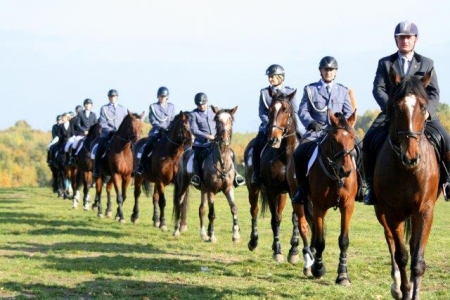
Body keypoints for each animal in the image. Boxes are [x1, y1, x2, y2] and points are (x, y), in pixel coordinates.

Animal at [173, 106, 243, 243]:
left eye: (230, 120)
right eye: (217, 120)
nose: (224, 140)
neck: (222, 160)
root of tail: (185, 152)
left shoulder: (228, 188)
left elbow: (234, 208)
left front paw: (236, 236)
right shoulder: (211, 190)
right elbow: (212, 214)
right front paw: (212, 236)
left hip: (203, 190)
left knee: (201, 209)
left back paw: (203, 234)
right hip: (184, 185)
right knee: (179, 203)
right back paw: (177, 231)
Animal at [243, 90, 302, 264]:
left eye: (286, 110)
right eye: (269, 110)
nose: (273, 138)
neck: (285, 157)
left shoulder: (295, 192)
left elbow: (294, 218)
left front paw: (294, 251)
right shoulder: (271, 191)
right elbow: (274, 220)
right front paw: (278, 251)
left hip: (282, 195)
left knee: (280, 213)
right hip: (253, 190)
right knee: (254, 211)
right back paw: (253, 242)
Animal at [292, 108, 358, 286]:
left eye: (353, 137)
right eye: (334, 140)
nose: (346, 170)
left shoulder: (347, 207)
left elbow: (343, 241)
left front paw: (343, 275)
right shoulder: (319, 206)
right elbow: (320, 241)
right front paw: (318, 268)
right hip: (299, 201)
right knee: (305, 227)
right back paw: (309, 263)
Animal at [372, 69, 440, 298]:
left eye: (423, 107)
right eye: (396, 107)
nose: (411, 157)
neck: (407, 172)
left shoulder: (425, 211)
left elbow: (417, 260)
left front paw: (414, 292)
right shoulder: (392, 213)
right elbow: (401, 255)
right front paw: (404, 290)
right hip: (381, 211)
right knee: (391, 241)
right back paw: (397, 286)